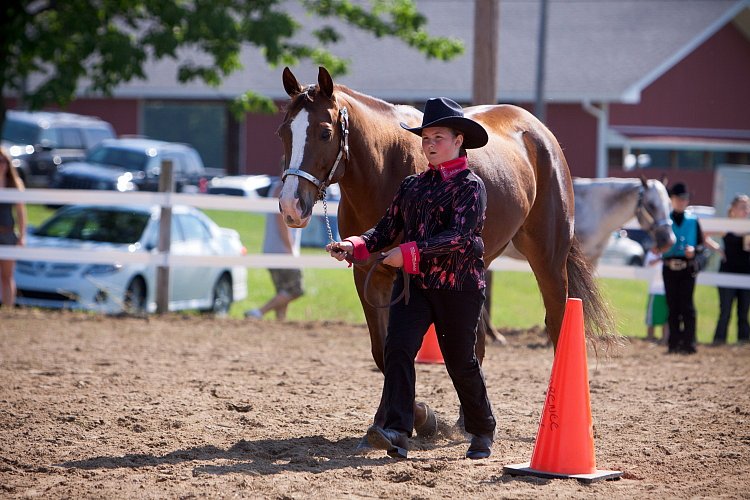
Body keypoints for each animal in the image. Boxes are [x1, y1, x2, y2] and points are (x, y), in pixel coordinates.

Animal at [280, 67, 612, 442]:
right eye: (283, 132)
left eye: (324, 132)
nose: (291, 207)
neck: (386, 167)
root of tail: (538, 133)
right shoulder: (368, 275)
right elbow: (383, 352)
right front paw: (392, 422)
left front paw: (420, 418)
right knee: (473, 344)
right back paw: (468, 423)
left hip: (549, 260)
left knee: (556, 324)